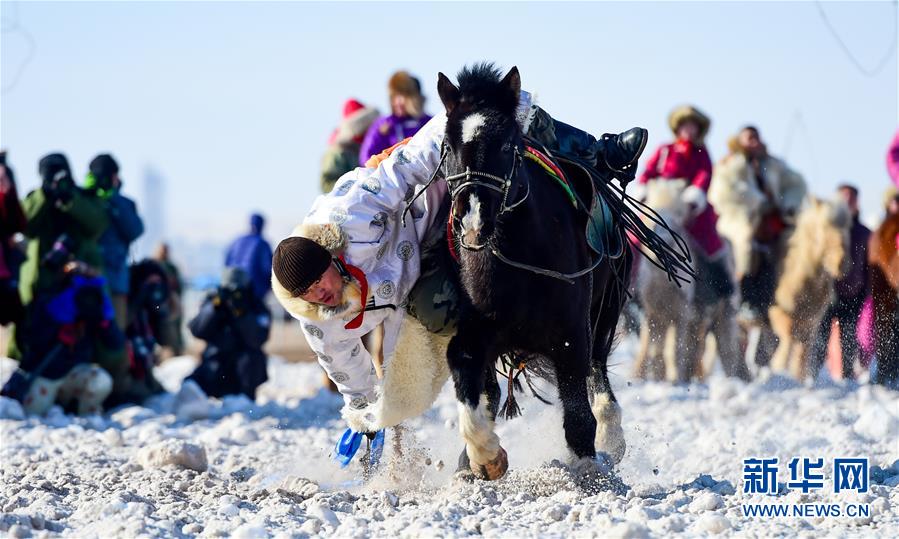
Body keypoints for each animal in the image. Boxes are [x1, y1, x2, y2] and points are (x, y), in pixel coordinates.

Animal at [440, 65, 636, 484]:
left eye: (507, 145)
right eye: (448, 145)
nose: (473, 220)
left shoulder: (571, 333)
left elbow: (578, 408)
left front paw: (587, 469)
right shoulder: (477, 329)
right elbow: (467, 373)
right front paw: (483, 456)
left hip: (606, 310)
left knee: (598, 372)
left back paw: (612, 437)